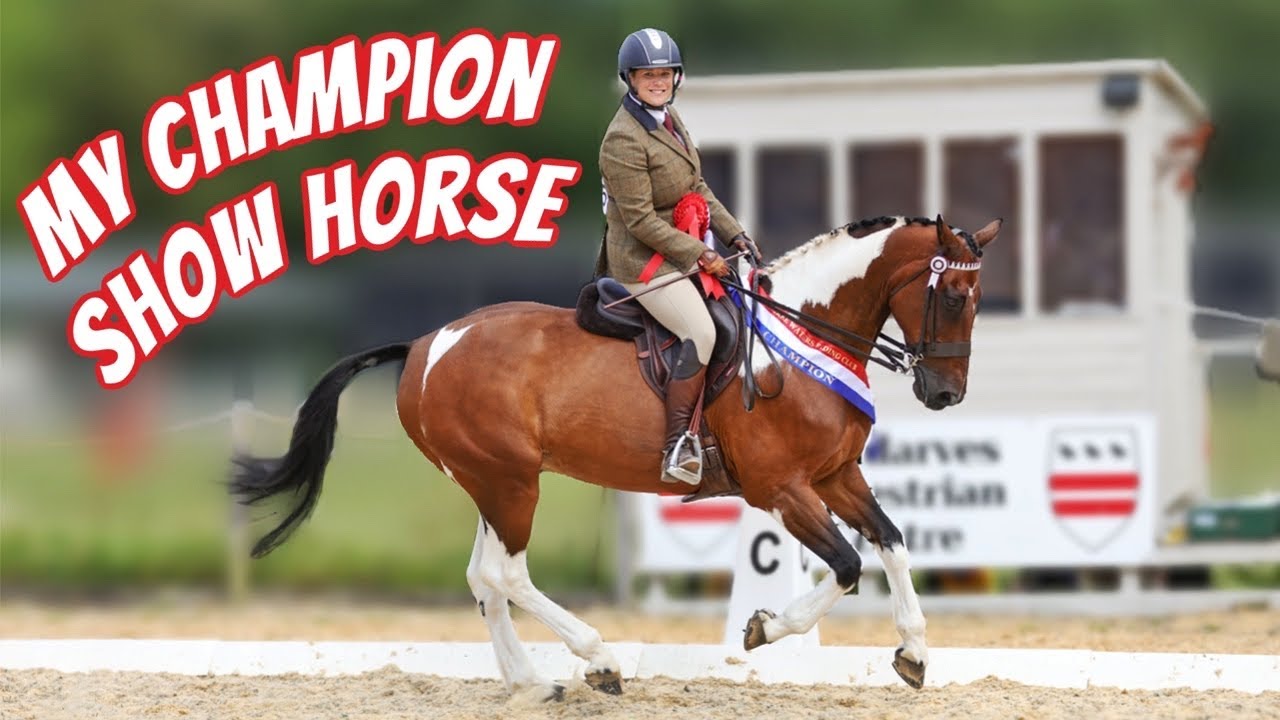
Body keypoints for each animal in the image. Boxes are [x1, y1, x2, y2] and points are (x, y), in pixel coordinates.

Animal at [231, 214, 1000, 700]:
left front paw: (913, 653)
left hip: (490, 483)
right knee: (508, 573)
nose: (945, 393)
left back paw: (533, 684)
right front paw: (761, 629)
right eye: (953, 295)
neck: (804, 334)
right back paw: (596, 660)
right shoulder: (781, 487)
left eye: (978, 297)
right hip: (511, 482)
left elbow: (892, 543)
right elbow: (844, 566)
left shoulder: (836, 476)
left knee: (485, 577)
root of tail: (425, 344)